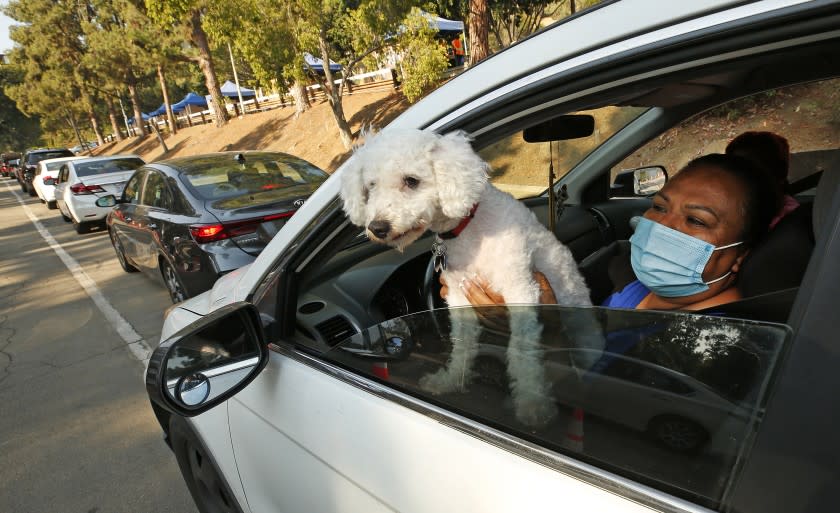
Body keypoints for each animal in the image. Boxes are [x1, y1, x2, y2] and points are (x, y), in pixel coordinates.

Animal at [340, 130, 592, 426]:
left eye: (411, 181)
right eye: (371, 187)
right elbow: (461, 344)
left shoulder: (521, 290)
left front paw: (532, 403)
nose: (377, 228)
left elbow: (521, 350)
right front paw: (451, 380)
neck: (468, 227)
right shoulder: (459, 298)